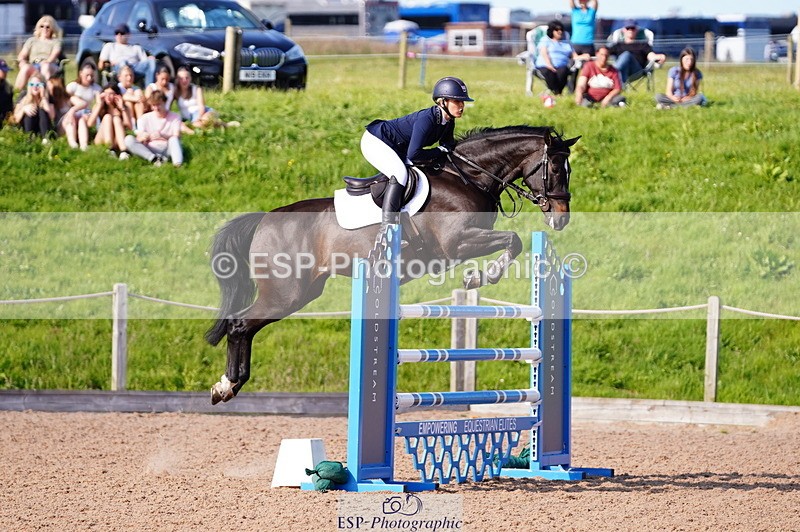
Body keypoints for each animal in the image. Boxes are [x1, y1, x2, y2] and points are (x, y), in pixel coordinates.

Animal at [206, 125, 579, 404]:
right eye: (555, 170)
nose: (561, 219)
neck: (468, 177)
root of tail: (265, 219)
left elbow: (513, 241)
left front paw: (481, 275)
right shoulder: (457, 242)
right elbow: (513, 240)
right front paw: (480, 277)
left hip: (303, 291)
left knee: (245, 327)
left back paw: (229, 386)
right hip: (286, 292)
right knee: (239, 326)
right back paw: (226, 385)